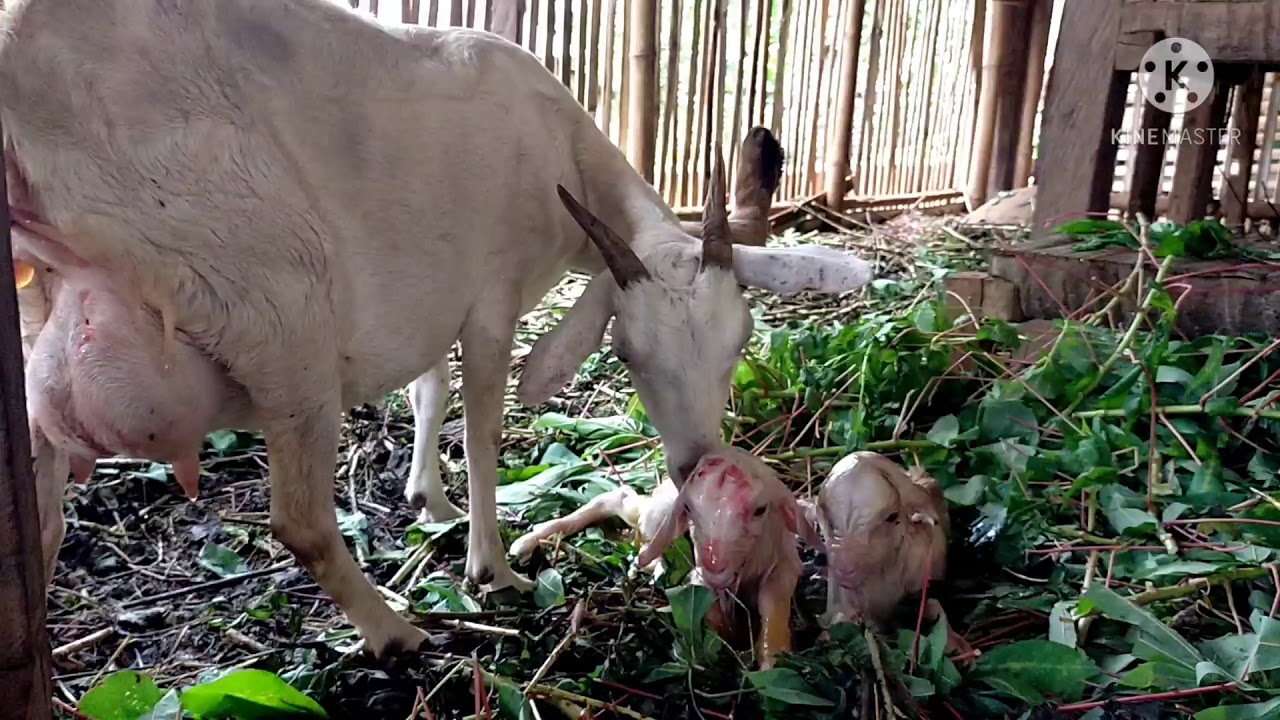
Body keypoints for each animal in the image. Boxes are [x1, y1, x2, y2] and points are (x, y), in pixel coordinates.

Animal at [511, 446, 821, 669]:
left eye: (760, 510)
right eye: (689, 510)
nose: (714, 567)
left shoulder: (783, 566)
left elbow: (773, 605)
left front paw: (772, 659)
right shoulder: (698, 577)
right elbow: (712, 611)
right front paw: (730, 641)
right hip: (656, 515)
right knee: (622, 502)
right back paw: (527, 541)